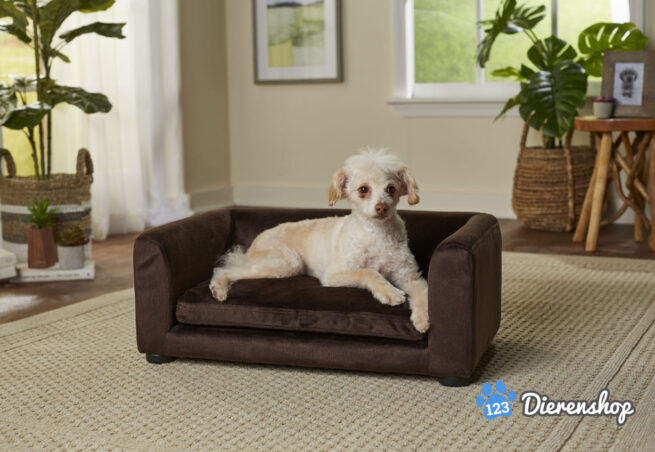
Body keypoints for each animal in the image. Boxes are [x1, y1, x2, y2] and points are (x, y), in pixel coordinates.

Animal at [209, 149, 429, 332]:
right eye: (363, 189)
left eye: (391, 188)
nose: (382, 207)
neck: (377, 234)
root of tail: (255, 243)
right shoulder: (333, 274)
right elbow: (369, 272)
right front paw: (388, 292)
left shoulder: (409, 276)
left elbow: (423, 292)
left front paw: (423, 318)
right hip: (286, 262)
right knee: (224, 270)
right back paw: (218, 288)